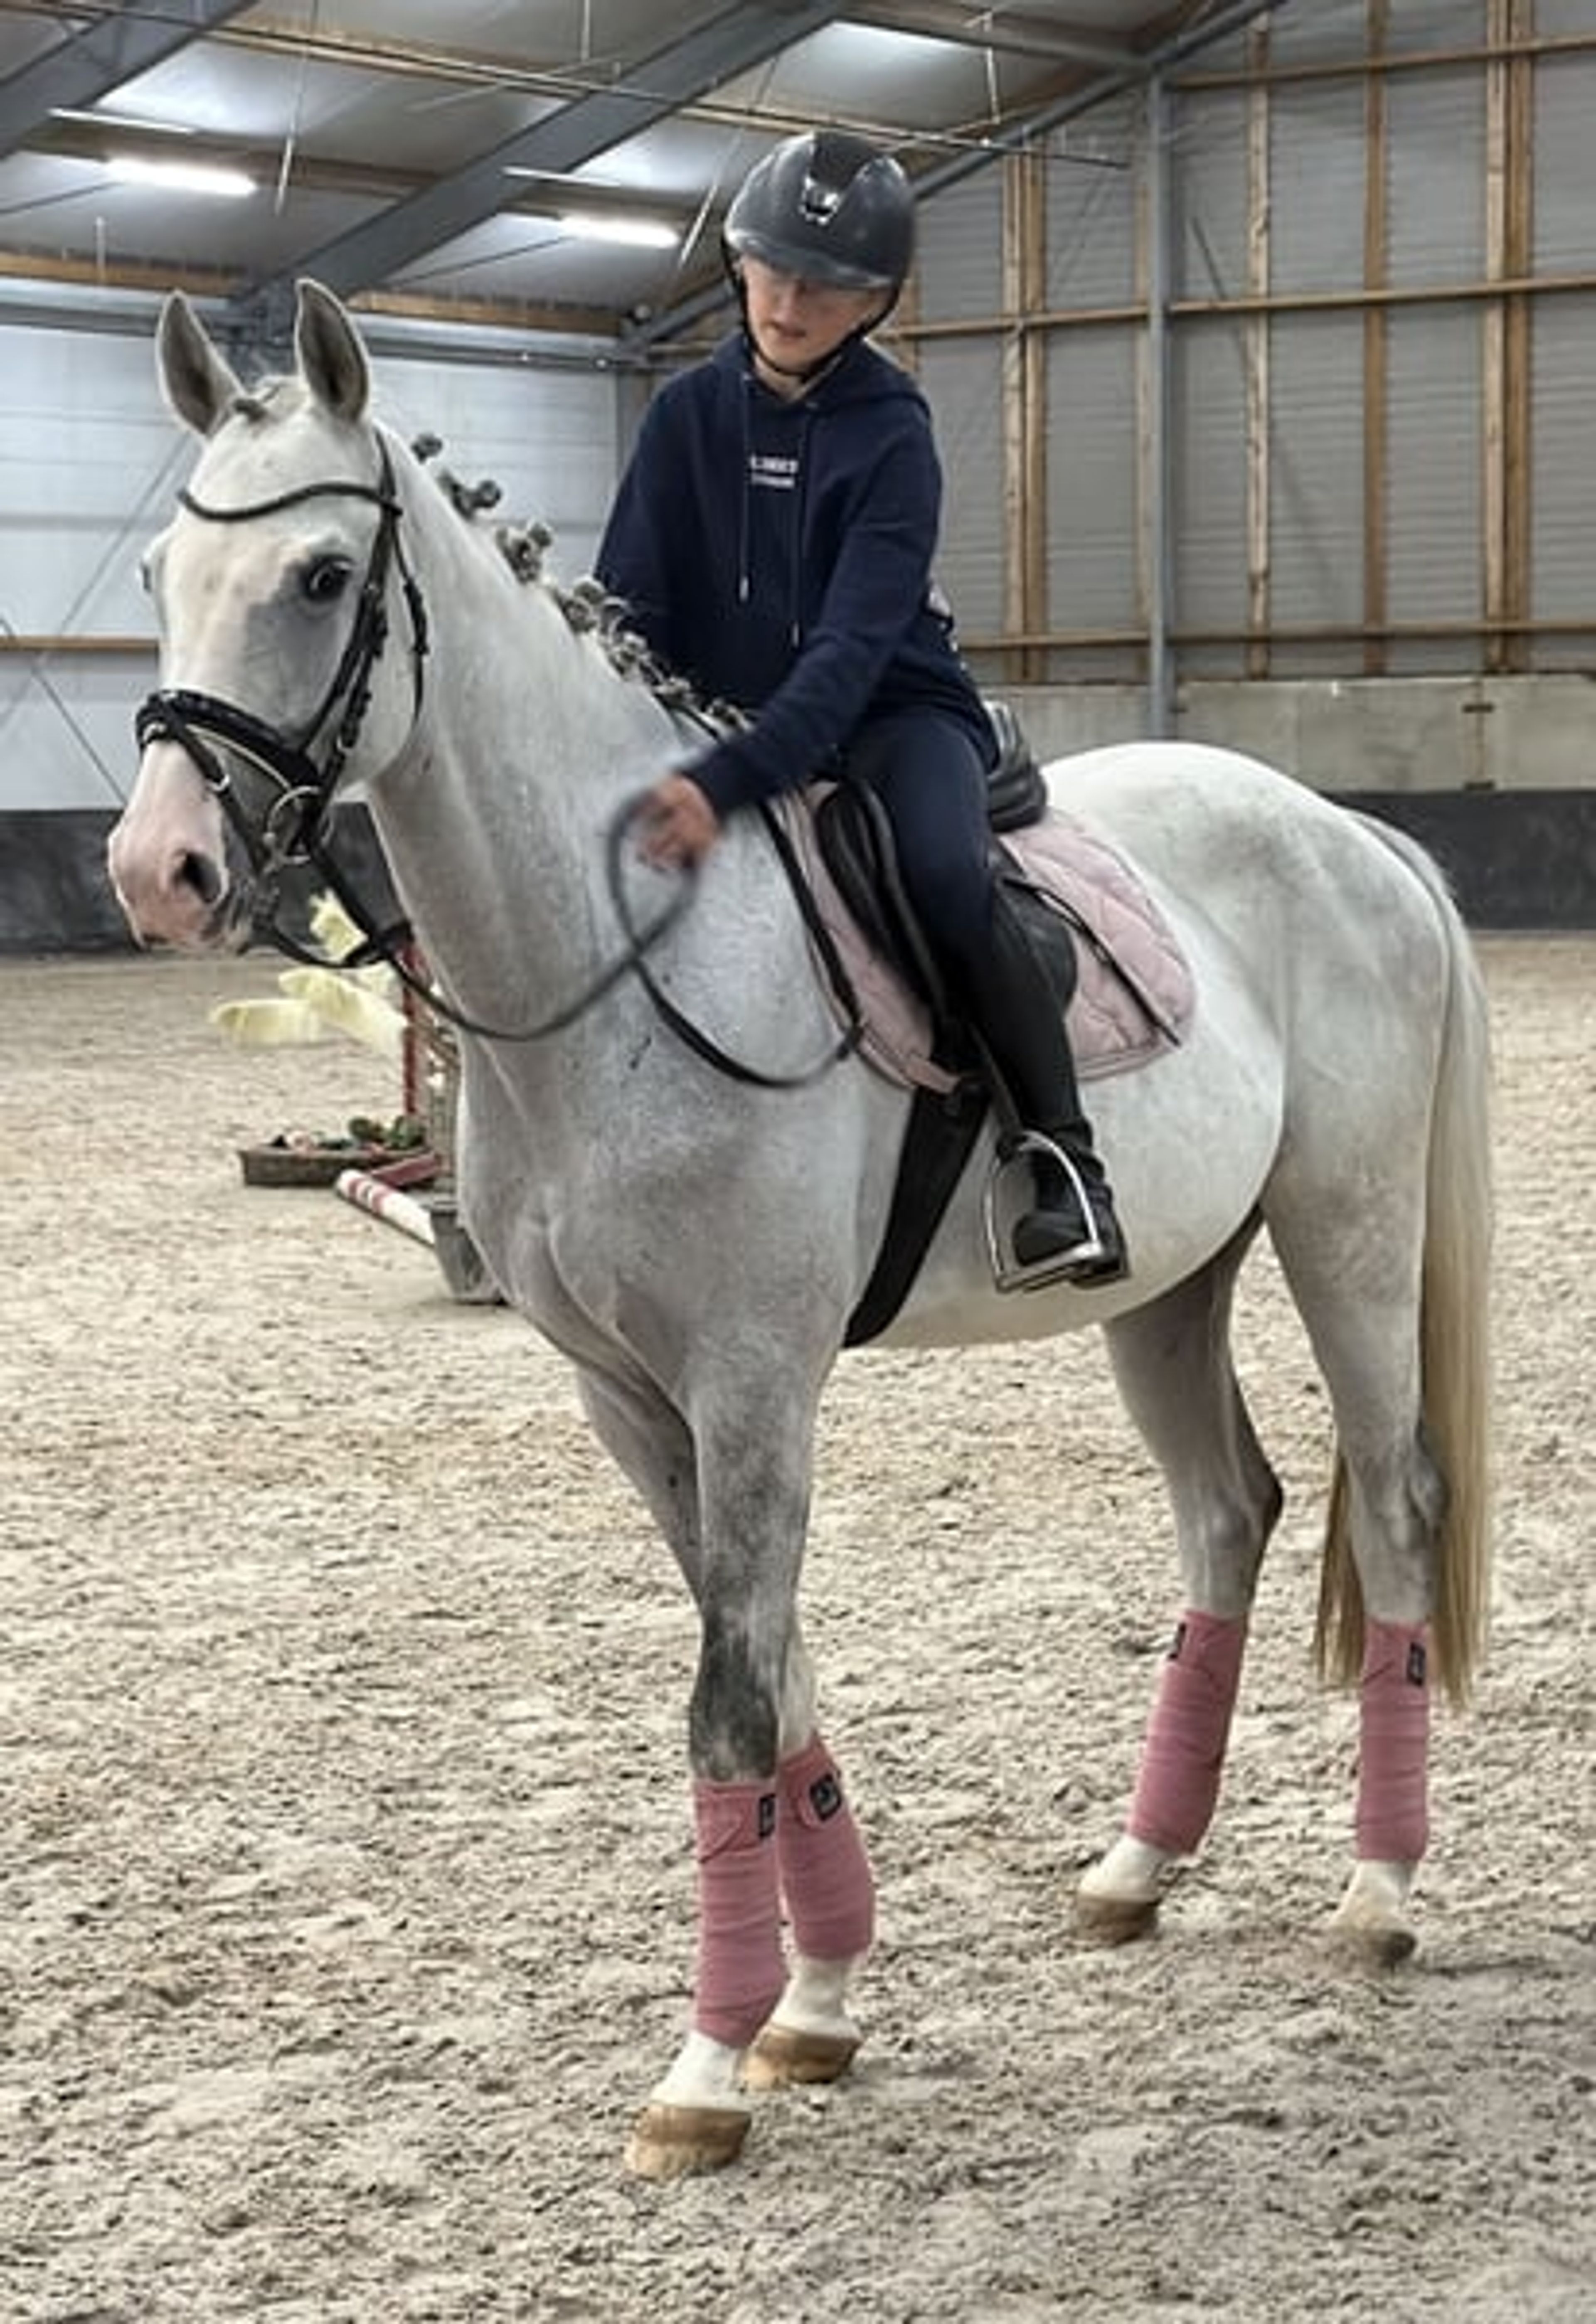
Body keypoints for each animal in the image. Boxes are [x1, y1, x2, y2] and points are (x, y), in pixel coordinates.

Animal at [108, 281, 1492, 2182]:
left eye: (321, 578)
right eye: (163, 567)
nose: (156, 871)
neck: (623, 961)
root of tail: (1347, 830)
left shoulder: (755, 1380)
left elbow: (731, 1698)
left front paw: (706, 2064)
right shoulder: (636, 1398)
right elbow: (773, 1669)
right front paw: (818, 2004)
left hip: (1341, 1232)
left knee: (1401, 1501)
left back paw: (1382, 1892)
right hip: (1168, 1284)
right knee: (1230, 1514)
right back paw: (1139, 1868)